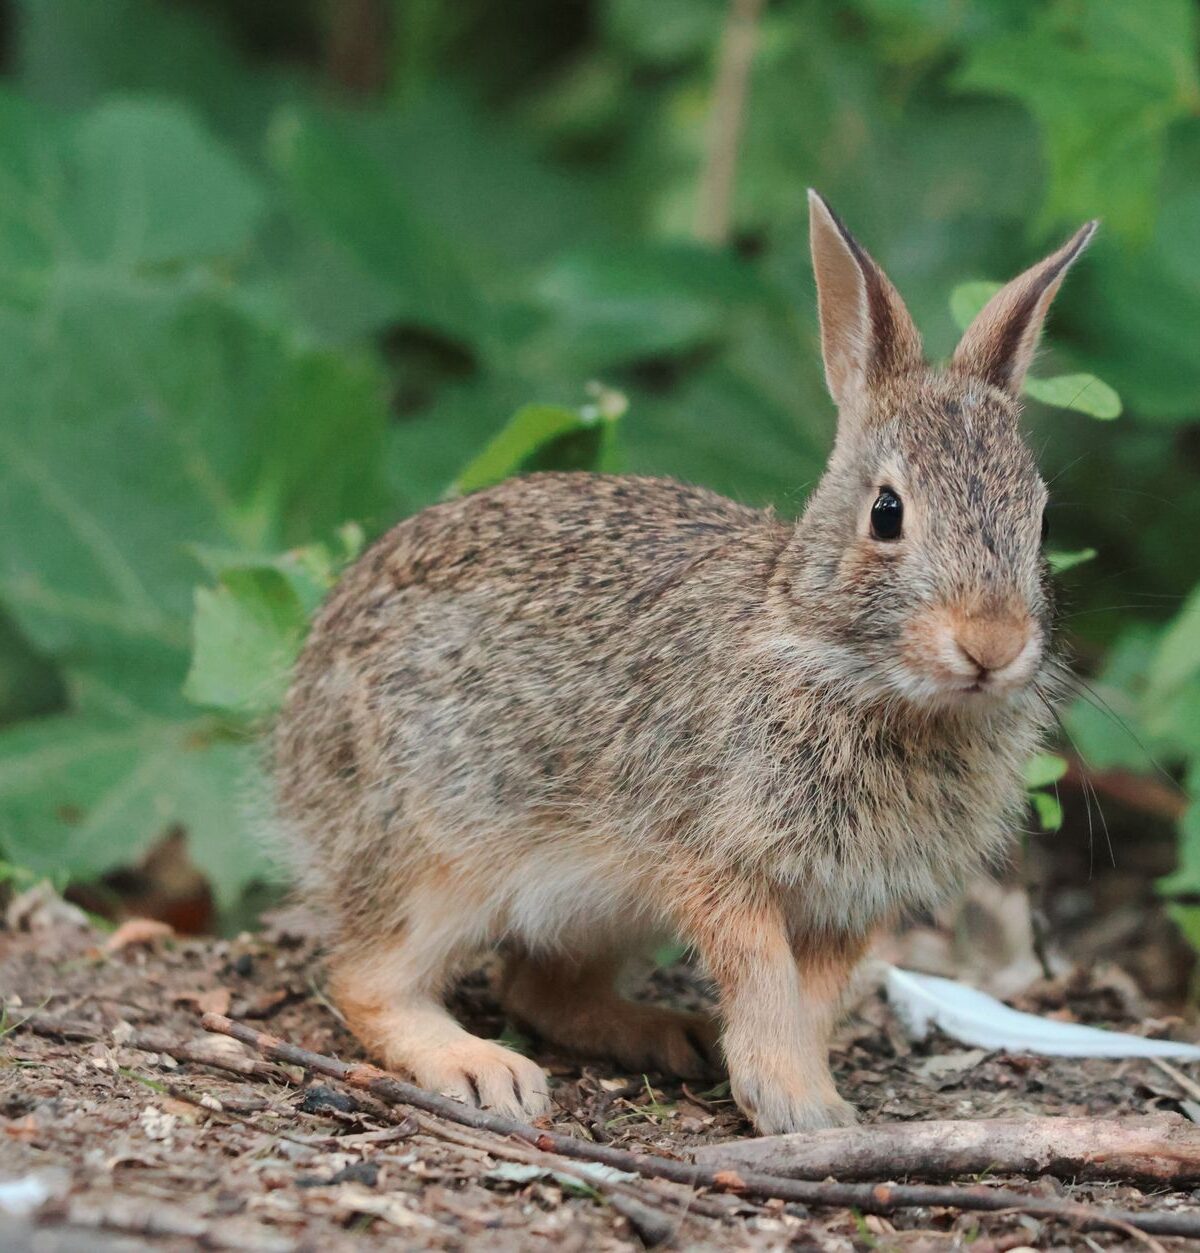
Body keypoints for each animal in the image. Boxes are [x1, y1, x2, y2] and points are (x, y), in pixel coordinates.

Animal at [272, 191, 1096, 1135]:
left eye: (1041, 521)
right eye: (886, 513)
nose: (991, 644)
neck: (835, 655)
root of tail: (295, 738)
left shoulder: (848, 899)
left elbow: (812, 999)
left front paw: (811, 1099)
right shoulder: (714, 859)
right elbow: (764, 976)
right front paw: (794, 1104)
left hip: (593, 906)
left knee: (538, 988)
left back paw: (672, 1035)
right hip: (438, 851)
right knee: (368, 978)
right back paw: (483, 1070)